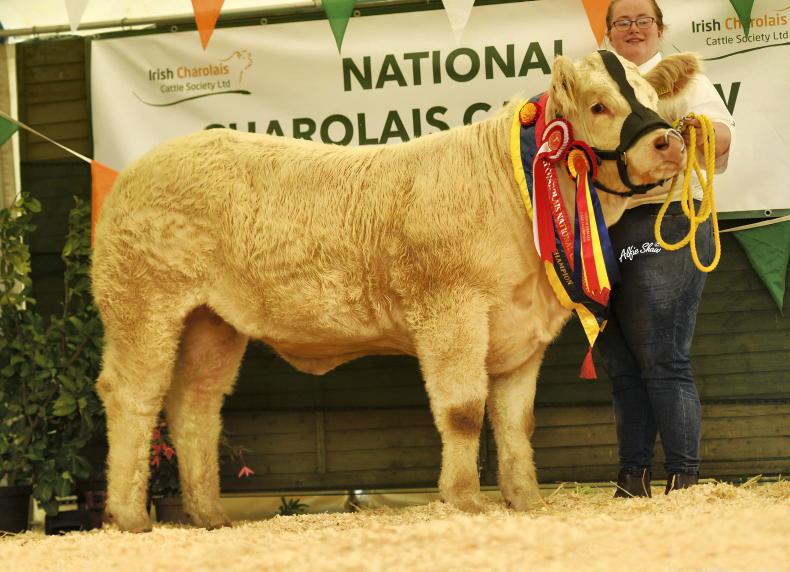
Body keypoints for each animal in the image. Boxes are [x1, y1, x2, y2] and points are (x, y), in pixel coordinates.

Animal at [92, 50, 699, 532]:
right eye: (599, 107)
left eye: (653, 100)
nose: (669, 142)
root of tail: (137, 170)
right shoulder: (451, 308)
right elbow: (462, 410)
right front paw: (465, 500)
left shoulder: (523, 329)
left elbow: (516, 421)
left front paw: (525, 500)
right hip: (142, 302)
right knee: (131, 395)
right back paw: (129, 517)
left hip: (212, 321)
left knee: (195, 403)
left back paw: (209, 515)